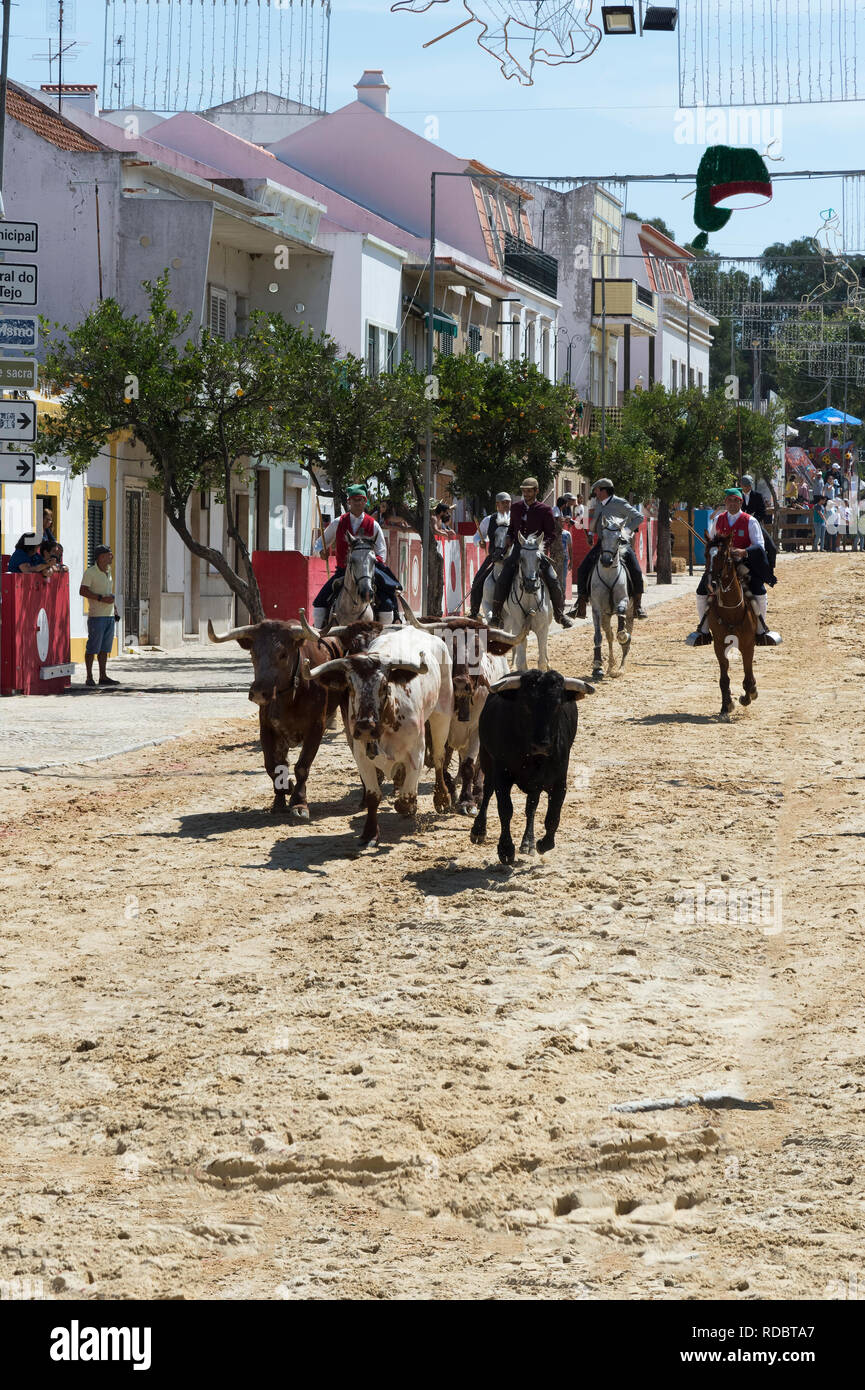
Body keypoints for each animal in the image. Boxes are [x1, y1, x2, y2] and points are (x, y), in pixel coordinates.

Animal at [208, 614, 381, 817]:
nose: (258, 692)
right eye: (252, 654)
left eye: (283, 654)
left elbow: (302, 766)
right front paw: (282, 796)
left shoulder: (316, 727)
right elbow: (273, 766)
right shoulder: (266, 728)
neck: (290, 695)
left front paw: (299, 803)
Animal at [497, 530, 553, 672]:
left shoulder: (542, 628)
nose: (530, 585)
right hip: (508, 620)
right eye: (521, 559)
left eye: (539, 559)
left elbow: (541, 661)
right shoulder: (519, 627)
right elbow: (522, 662)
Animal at [589, 514, 636, 681]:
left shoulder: (624, 600)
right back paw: (610, 666)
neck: (609, 574)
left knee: (626, 639)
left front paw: (623, 635)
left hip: (631, 612)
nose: (606, 561)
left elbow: (622, 631)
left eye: (619, 539)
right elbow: (598, 637)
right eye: (602, 537)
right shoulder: (596, 609)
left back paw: (620, 668)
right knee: (609, 636)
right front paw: (597, 667)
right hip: (605, 615)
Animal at [709, 533, 762, 717]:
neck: (732, 612)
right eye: (706, 555)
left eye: (725, 557)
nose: (712, 583)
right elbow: (724, 678)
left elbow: (748, 674)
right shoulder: (719, 645)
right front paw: (726, 706)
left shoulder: (748, 644)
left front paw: (749, 694)